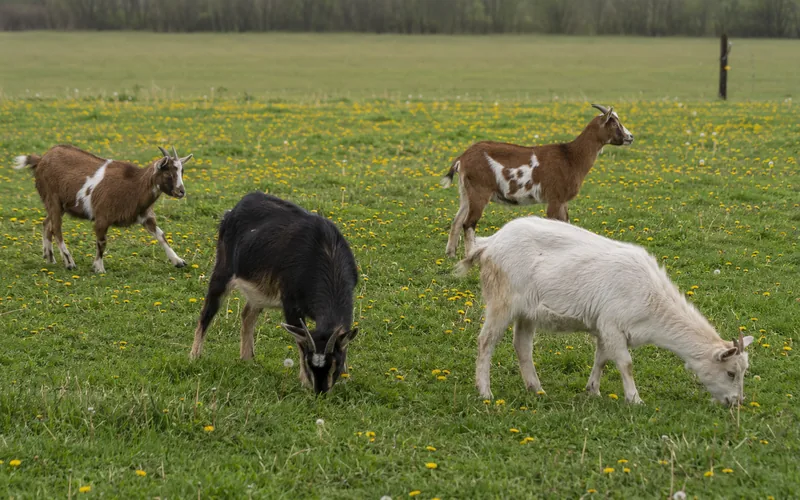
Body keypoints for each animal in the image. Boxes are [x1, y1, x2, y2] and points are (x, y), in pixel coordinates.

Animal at [13, 144, 192, 273]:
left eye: (182, 171)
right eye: (168, 173)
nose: (181, 191)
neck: (134, 185)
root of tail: (41, 159)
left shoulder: (145, 216)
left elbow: (161, 235)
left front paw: (178, 261)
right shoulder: (102, 217)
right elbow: (102, 241)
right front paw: (99, 267)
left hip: (58, 204)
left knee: (46, 223)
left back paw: (49, 257)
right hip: (53, 199)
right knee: (56, 229)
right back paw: (69, 262)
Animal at [189, 191, 359, 395]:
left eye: (335, 364)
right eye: (309, 363)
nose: (320, 392)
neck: (327, 253)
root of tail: (234, 209)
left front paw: (346, 378)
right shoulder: (290, 303)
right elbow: (300, 341)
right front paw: (304, 381)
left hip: (258, 291)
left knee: (247, 315)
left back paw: (247, 359)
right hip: (223, 269)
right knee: (207, 311)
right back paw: (194, 355)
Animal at [441, 104, 633, 258]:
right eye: (615, 123)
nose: (630, 137)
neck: (571, 157)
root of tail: (462, 158)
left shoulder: (563, 200)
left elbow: (566, 224)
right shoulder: (555, 198)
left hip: (466, 191)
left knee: (457, 220)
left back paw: (450, 254)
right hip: (479, 189)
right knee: (468, 223)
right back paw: (470, 255)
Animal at [455, 216, 754, 406]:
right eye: (731, 373)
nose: (737, 402)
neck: (653, 301)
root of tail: (489, 243)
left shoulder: (604, 327)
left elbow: (601, 358)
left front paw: (593, 391)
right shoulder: (612, 324)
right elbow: (625, 363)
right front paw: (634, 399)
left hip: (528, 311)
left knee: (522, 346)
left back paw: (536, 389)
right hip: (501, 300)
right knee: (486, 342)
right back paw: (485, 392)